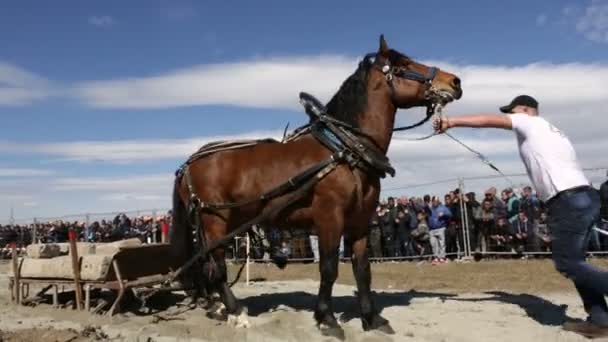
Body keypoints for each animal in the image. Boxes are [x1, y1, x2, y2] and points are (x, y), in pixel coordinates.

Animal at [170, 35, 460, 336]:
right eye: (403, 65)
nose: (455, 82)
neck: (345, 149)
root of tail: (188, 164)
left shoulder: (360, 221)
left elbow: (362, 270)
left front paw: (371, 318)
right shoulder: (330, 218)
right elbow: (329, 268)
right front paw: (327, 319)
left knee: (205, 263)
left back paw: (215, 306)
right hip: (214, 221)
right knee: (216, 264)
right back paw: (235, 311)